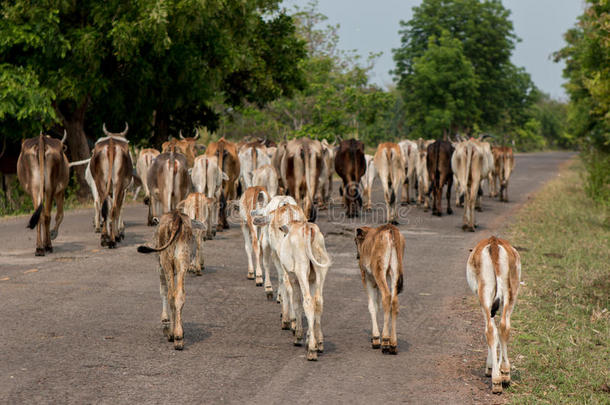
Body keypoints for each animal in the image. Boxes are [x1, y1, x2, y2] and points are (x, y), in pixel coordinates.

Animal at [135, 210, 202, 348]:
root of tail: (177, 217)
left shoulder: (159, 266)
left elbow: (163, 291)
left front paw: (165, 320)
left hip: (166, 259)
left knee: (171, 294)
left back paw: (172, 334)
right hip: (183, 259)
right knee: (180, 295)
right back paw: (179, 335)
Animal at [352, 224, 404, 354]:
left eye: (355, 241)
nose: (357, 256)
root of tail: (390, 229)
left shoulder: (367, 278)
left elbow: (372, 306)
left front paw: (375, 338)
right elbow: (378, 305)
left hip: (379, 271)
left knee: (387, 296)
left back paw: (385, 341)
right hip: (394, 272)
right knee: (394, 301)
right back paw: (393, 343)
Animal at [464, 237, 520, 392]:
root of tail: (494, 242)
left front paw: (490, 367)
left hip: (484, 291)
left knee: (490, 329)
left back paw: (495, 379)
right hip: (511, 292)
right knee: (504, 326)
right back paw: (505, 374)